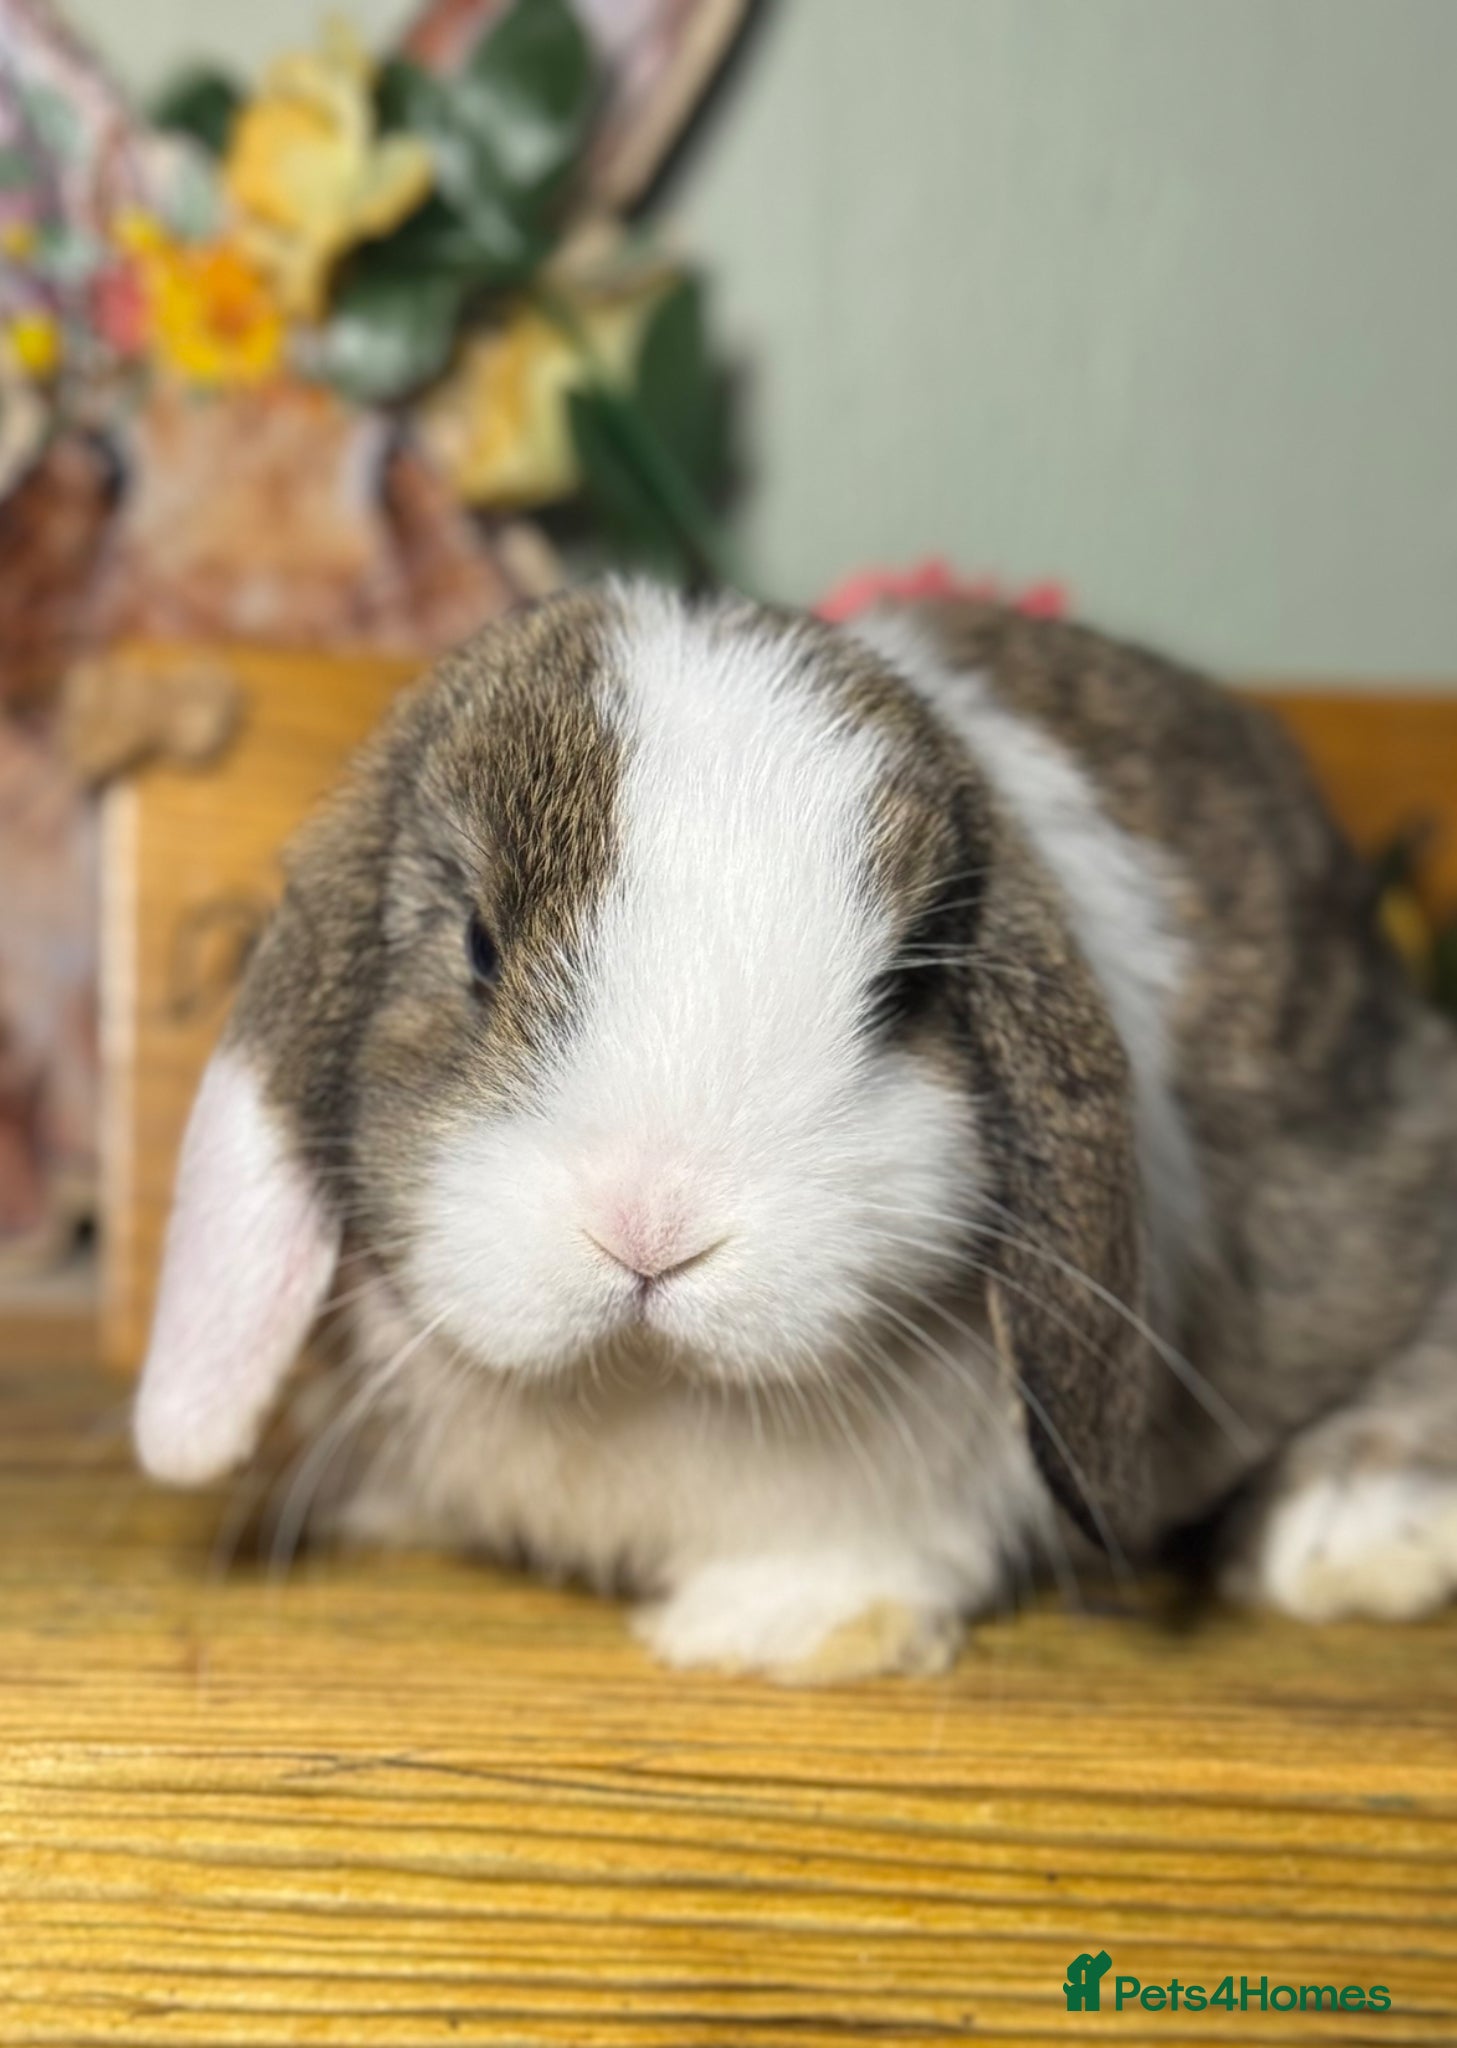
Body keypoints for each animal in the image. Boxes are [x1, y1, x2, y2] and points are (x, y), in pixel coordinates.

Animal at [133, 582, 1457, 1679]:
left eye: (902, 991)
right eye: (477, 945)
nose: (650, 1225)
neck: (641, 1389)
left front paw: (778, 1632)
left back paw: (1353, 1536)